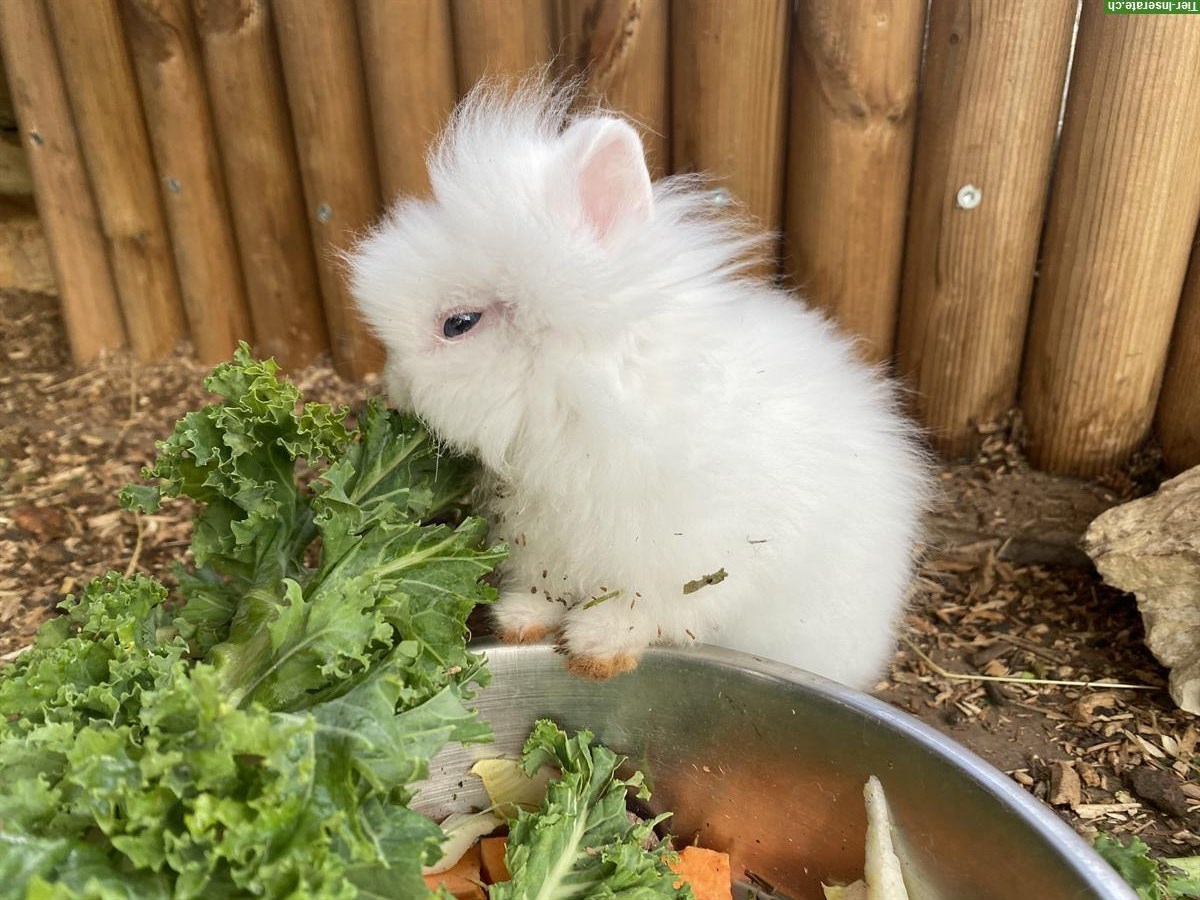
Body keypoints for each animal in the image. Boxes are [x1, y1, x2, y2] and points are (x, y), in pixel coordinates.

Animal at [350, 82, 931, 691]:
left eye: (458, 324)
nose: (394, 384)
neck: (591, 396)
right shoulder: (543, 546)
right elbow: (541, 587)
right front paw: (519, 622)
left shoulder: (676, 557)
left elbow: (644, 607)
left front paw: (595, 647)